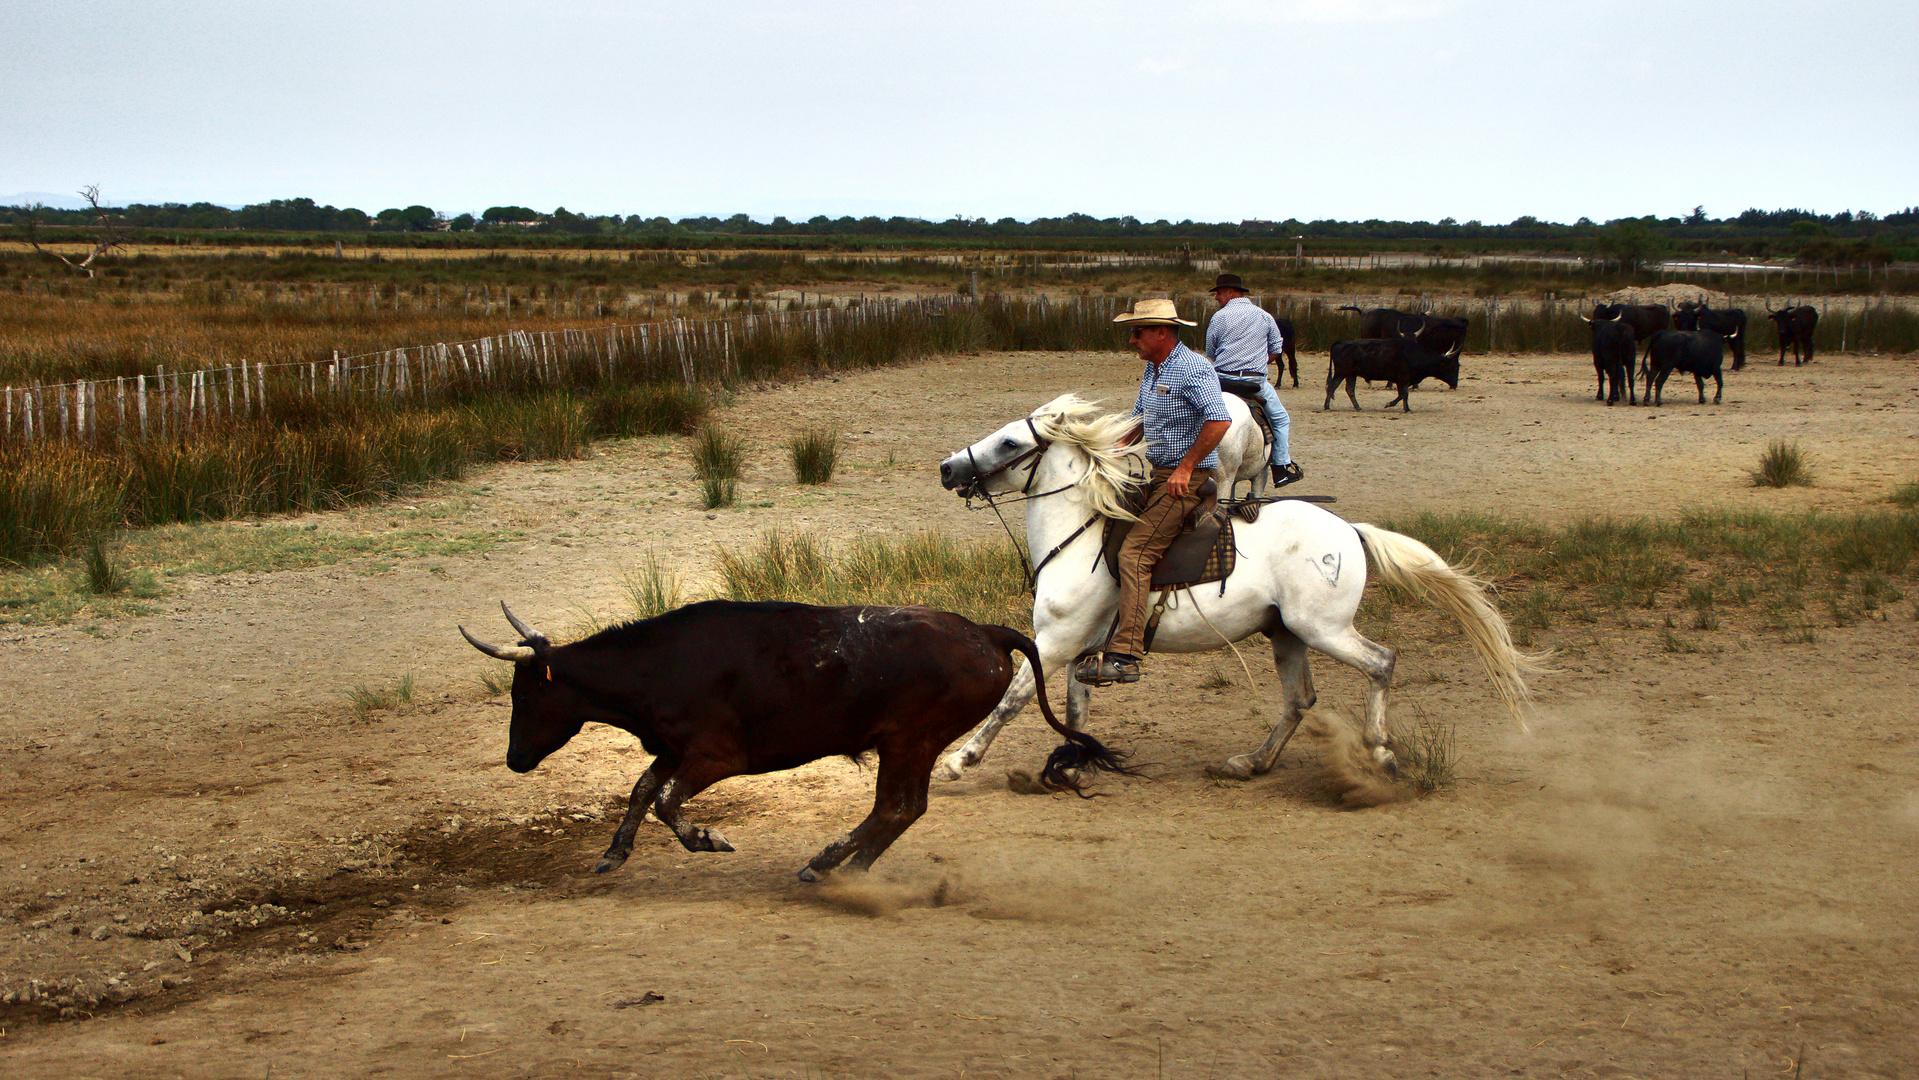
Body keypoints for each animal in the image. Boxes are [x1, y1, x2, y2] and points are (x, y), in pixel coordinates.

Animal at [458, 606, 1128, 882]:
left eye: (525, 695)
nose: (515, 759)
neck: (659, 664)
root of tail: (986, 632)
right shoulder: (674, 749)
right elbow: (642, 790)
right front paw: (613, 854)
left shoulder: (715, 756)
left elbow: (667, 801)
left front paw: (710, 839)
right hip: (910, 744)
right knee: (902, 810)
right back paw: (847, 865)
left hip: (911, 740)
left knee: (897, 807)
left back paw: (825, 863)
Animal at [928, 393, 1542, 782]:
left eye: (1010, 443)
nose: (947, 468)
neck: (1080, 532)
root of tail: (1348, 530)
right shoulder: (1081, 649)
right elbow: (1077, 712)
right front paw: (1076, 761)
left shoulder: (1056, 643)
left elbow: (1012, 702)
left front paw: (960, 761)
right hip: (1286, 634)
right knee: (1300, 700)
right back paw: (1252, 763)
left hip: (1322, 629)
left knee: (1381, 663)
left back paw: (1382, 754)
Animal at [1327, 335, 1458, 412]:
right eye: (1450, 367)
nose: (1455, 384)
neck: (1414, 354)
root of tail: (1341, 342)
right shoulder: (1403, 378)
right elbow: (1403, 394)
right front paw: (1390, 404)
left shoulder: (1405, 380)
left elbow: (1405, 394)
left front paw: (1407, 409)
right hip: (1341, 372)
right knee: (1332, 387)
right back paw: (1327, 406)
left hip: (1350, 374)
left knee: (1348, 389)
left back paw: (1358, 408)